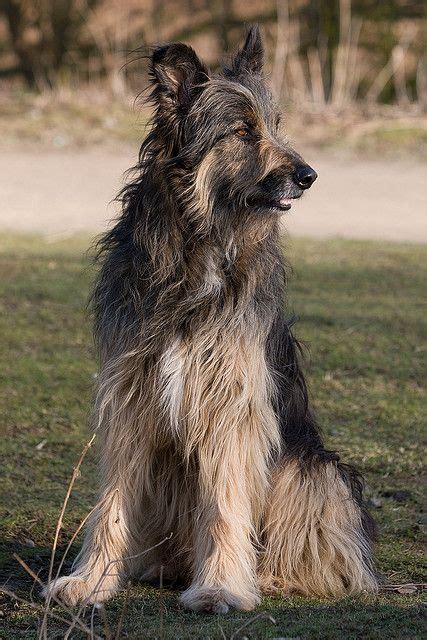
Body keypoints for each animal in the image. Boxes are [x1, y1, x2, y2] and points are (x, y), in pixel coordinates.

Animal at [46, 26, 378, 616]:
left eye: (275, 125)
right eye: (243, 131)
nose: (309, 176)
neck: (198, 247)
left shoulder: (232, 399)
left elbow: (226, 500)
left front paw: (222, 586)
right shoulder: (129, 394)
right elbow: (112, 501)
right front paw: (92, 580)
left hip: (312, 470)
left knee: (326, 553)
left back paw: (267, 577)